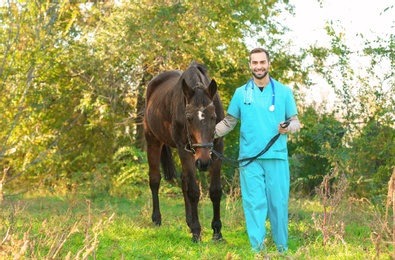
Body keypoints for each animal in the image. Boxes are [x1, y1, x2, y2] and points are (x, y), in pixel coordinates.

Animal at [145, 61, 226, 242]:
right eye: (189, 119)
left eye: (213, 117)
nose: (204, 162)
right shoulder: (184, 149)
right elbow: (194, 191)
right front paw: (197, 232)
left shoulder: (217, 150)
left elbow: (215, 191)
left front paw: (217, 232)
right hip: (152, 139)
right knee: (155, 180)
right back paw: (156, 219)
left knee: (183, 182)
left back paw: (189, 221)